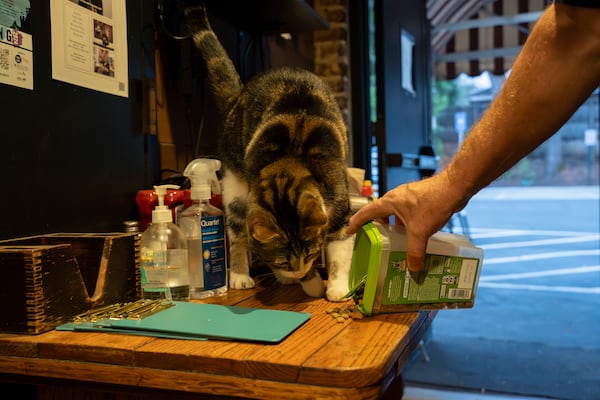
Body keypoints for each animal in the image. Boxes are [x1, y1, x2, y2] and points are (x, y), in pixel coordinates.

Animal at [183, 3, 356, 302]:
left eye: (312, 252)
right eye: (284, 260)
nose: (297, 272)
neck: (291, 161)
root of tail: (239, 95)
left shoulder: (341, 210)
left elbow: (340, 253)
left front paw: (337, 289)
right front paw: (310, 284)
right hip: (235, 190)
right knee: (238, 236)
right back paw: (241, 276)